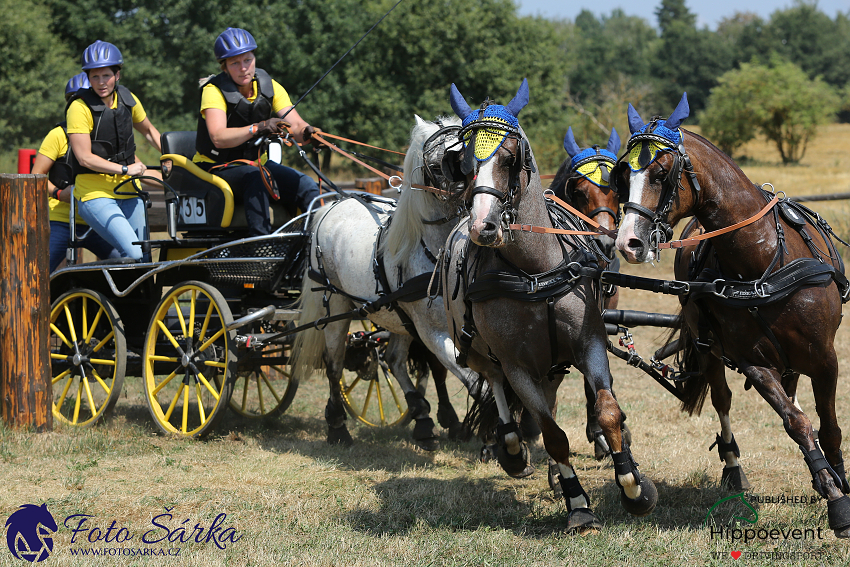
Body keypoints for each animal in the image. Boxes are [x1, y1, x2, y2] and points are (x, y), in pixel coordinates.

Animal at [292, 117, 480, 450]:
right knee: (334, 364)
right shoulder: (431, 330)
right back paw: (337, 426)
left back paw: (421, 417)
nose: (467, 188)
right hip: (334, 306)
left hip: (397, 317)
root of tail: (332, 206)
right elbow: (470, 379)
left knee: (392, 359)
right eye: (436, 162)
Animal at [444, 80, 656, 532]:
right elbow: (552, 433)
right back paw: (512, 448)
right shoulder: (518, 366)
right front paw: (578, 504)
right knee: (500, 390)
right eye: (464, 163)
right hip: (481, 350)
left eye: (510, 157)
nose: (483, 226)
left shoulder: (589, 341)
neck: (534, 271)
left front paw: (633, 485)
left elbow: (607, 409)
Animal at [612, 93, 848, 536]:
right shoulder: (752, 361)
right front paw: (834, 496)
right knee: (723, 400)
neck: (762, 262)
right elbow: (796, 422)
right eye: (622, 174)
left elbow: (828, 427)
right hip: (709, 347)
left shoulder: (825, 358)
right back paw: (734, 467)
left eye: (661, 173)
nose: (628, 242)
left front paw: (837, 478)